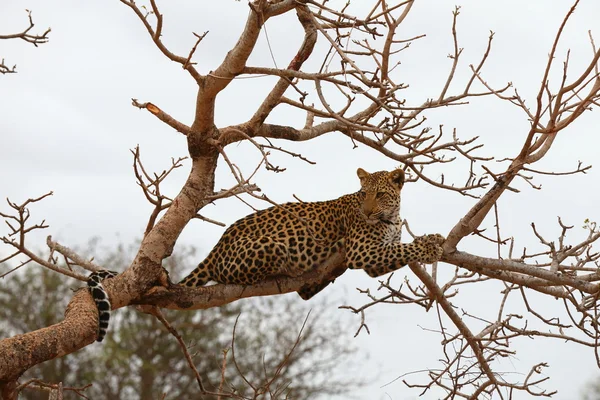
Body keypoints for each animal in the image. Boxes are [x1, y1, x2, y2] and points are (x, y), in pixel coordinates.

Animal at [178, 166, 446, 300]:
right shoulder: (362, 251)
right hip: (271, 247)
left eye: (380, 194)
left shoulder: (376, 260)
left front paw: (433, 238)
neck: (391, 218)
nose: (368, 212)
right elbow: (404, 249)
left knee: (304, 294)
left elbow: (401, 249)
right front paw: (428, 248)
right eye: (363, 194)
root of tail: (218, 245)